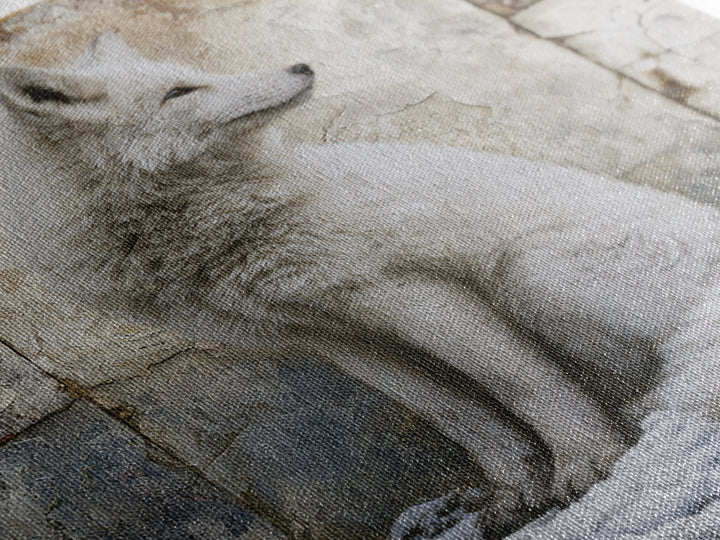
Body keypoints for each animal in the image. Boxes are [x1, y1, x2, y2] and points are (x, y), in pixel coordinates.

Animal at [1, 31, 720, 538]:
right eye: (180, 91)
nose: (302, 67)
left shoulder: (398, 287)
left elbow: (521, 380)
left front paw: (590, 467)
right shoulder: (332, 334)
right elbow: (463, 417)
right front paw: (517, 498)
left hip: (531, 273)